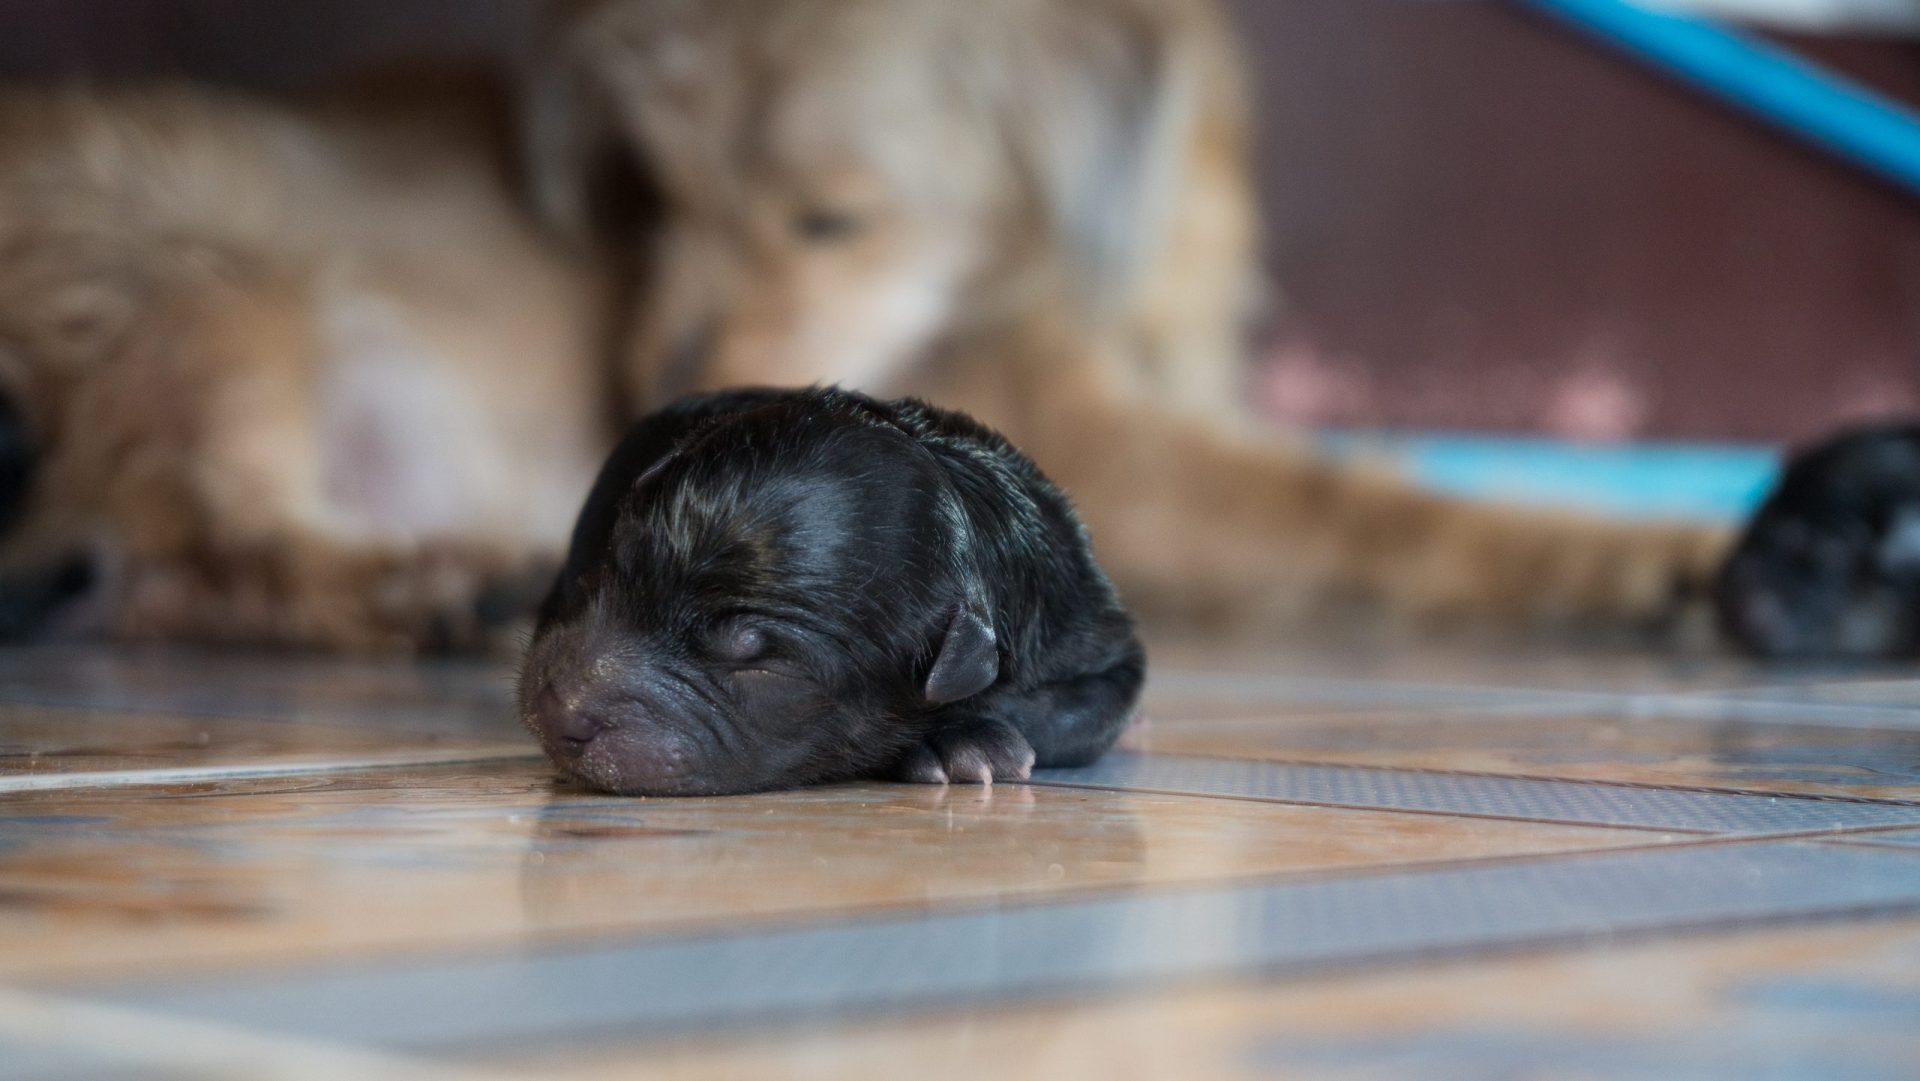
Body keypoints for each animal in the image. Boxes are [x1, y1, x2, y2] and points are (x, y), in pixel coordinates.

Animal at [514, 389, 1136, 794]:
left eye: (760, 662)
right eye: (610, 570)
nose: (555, 710)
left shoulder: (1096, 638)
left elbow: (1068, 712)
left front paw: (959, 738)